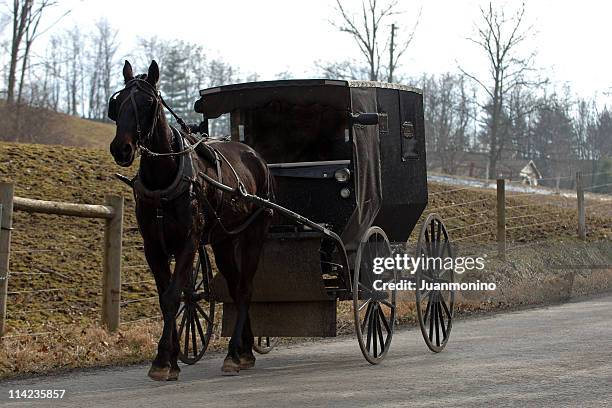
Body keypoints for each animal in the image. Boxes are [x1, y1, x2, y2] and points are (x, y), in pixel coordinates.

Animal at [109, 60, 274, 382]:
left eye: (147, 103)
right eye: (117, 103)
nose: (121, 148)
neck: (164, 178)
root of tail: (255, 155)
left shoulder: (189, 240)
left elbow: (175, 295)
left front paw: (163, 359)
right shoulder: (153, 247)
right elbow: (166, 298)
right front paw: (170, 357)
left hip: (253, 235)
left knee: (246, 288)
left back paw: (235, 352)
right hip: (224, 241)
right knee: (236, 287)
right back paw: (244, 349)